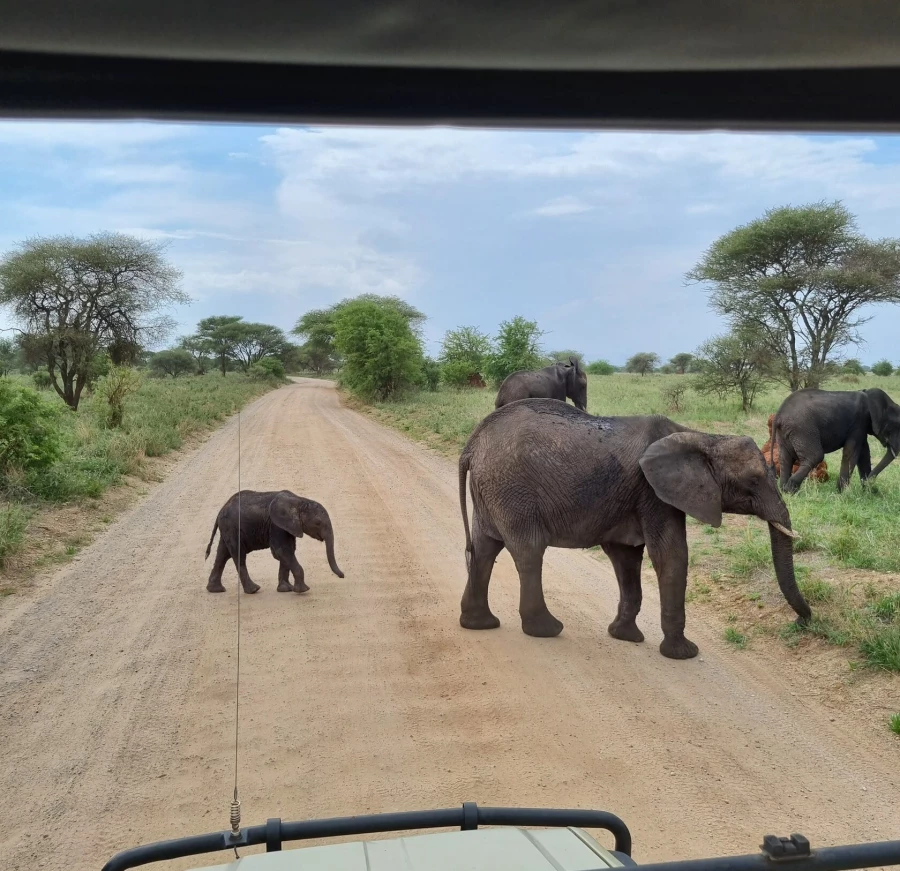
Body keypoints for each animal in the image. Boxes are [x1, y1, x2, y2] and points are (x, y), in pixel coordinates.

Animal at [458, 398, 808, 656]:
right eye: (754, 481)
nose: (804, 622)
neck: (703, 438)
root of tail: (471, 444)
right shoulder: (654, 492)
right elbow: (671, 556)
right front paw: (683, 653)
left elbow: (627, 558)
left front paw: (624, 636)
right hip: (512, 489)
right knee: (529, 552)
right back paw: (546, 629)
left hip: (493, 489)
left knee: (484, 548)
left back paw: (480, 623)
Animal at [768, 390, 900, 498]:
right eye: (895, 426)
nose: (869, 484)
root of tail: (779, 415)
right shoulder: (859, 423)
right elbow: (851, 452)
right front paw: (844, 493)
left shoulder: (862, 426)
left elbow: (864, 453)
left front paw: (868, 492)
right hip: (802, 429)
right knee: (815, 456)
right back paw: (791, 491)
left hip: (786, 432)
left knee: (786, 459)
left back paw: (784, 491)